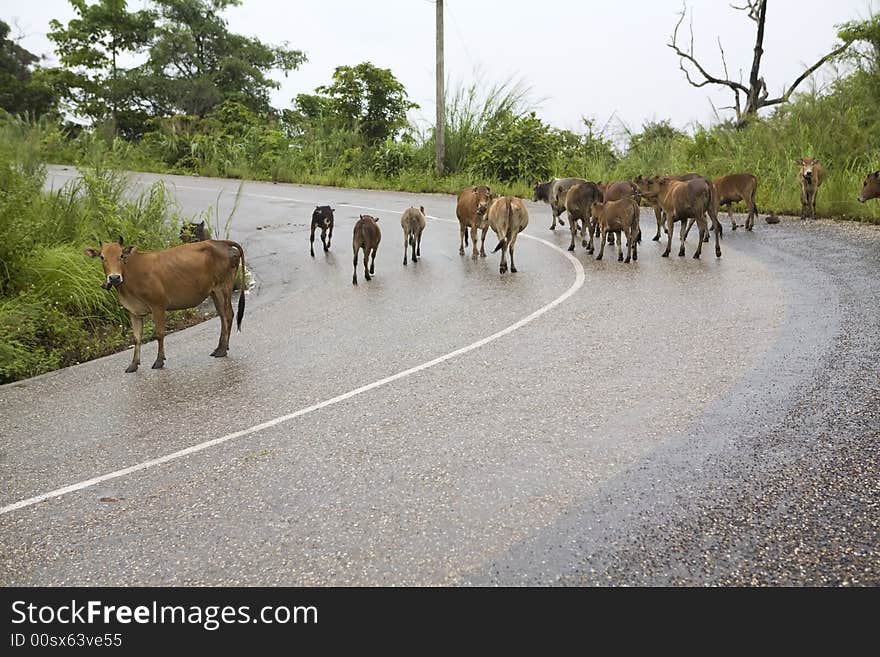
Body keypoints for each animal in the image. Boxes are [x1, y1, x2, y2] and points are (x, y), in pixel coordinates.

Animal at [85, 237, 246, 372]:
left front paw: (159, 361)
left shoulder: (158, 305)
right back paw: (219, 348)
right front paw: (133, 364)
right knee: (222, 316)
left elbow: (159, 334)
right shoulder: (133, 311)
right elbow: (137, 338)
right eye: (102, 257)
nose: (114, 277)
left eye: (121, 255)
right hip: (214, 292)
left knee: (228, 315)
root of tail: (220, 242)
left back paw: (222, 350)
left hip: (224, 287)